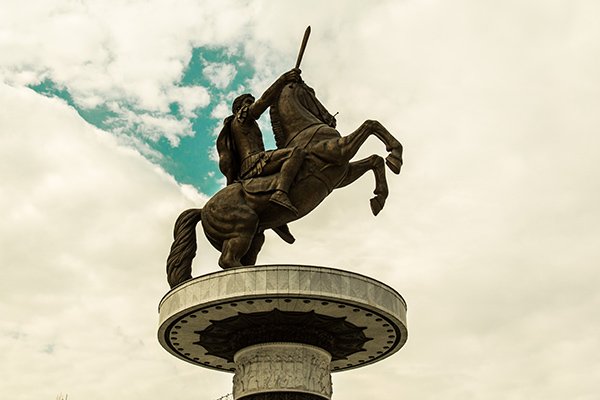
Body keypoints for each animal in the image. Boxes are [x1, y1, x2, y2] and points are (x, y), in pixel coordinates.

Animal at [165, 81, 404, 288]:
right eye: (312, 92)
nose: (331, 120)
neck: (305, 129)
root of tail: (202, 209)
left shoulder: (341, 174)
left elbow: (375, 160)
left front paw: (380, 196)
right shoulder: (339, 150)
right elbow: (370, 125)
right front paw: (396, 154)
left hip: (255, 237)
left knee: (239, 260)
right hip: (243, 228)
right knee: (227, 261)